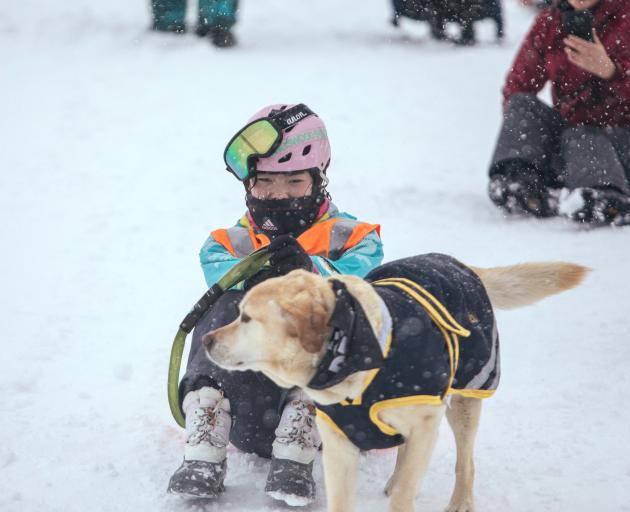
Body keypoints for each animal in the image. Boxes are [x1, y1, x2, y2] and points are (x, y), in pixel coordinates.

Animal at [205, 254, 592, 510]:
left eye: (246, 317)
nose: (206, 339)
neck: (352, 355)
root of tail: (461, 264)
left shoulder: (425, 423)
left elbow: (409, 489)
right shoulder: (340, 444)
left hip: (465, 400)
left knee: (464, 463)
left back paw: (460, 502)